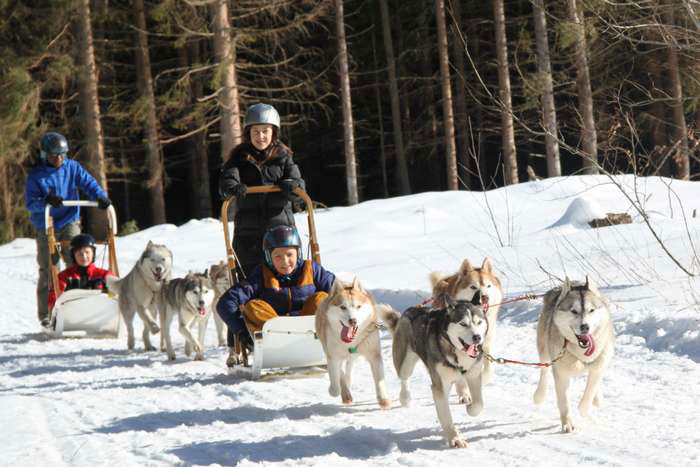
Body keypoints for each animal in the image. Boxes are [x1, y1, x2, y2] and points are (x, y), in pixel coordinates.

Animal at [314, 278, 392, 410]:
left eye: (358, 306)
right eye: (343, 307)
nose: (353, 321)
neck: (349, 342)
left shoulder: (374, 355)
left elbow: (379, 379)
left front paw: (383, 399)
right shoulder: (332, 356)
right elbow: (336, 383)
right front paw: (335, 390)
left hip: (354, 355)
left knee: (349, 368)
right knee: (341, 372)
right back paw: (345, 393)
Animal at [380, 292, 490, 450]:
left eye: (479, 322)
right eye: (463, 324)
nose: (477, 337)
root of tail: (410, 310)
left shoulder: (474, 375)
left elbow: (479, 403)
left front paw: (470, 409)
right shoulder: (439, 386)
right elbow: (445, 414)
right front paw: (455, 438)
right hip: (405, 362)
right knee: (404, 377)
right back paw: (405, 398)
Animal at [532, 276, 616, 434]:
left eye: (591, 310)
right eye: (573, 311)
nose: (585, 327)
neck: (581, 353)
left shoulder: (599, 365)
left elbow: (589, 392)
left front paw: (585, 409)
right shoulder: (561, 372)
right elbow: (564, 402)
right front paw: (567, 423)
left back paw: (597, 399)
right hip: (544, 349)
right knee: (544, 371)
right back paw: (539, 395)